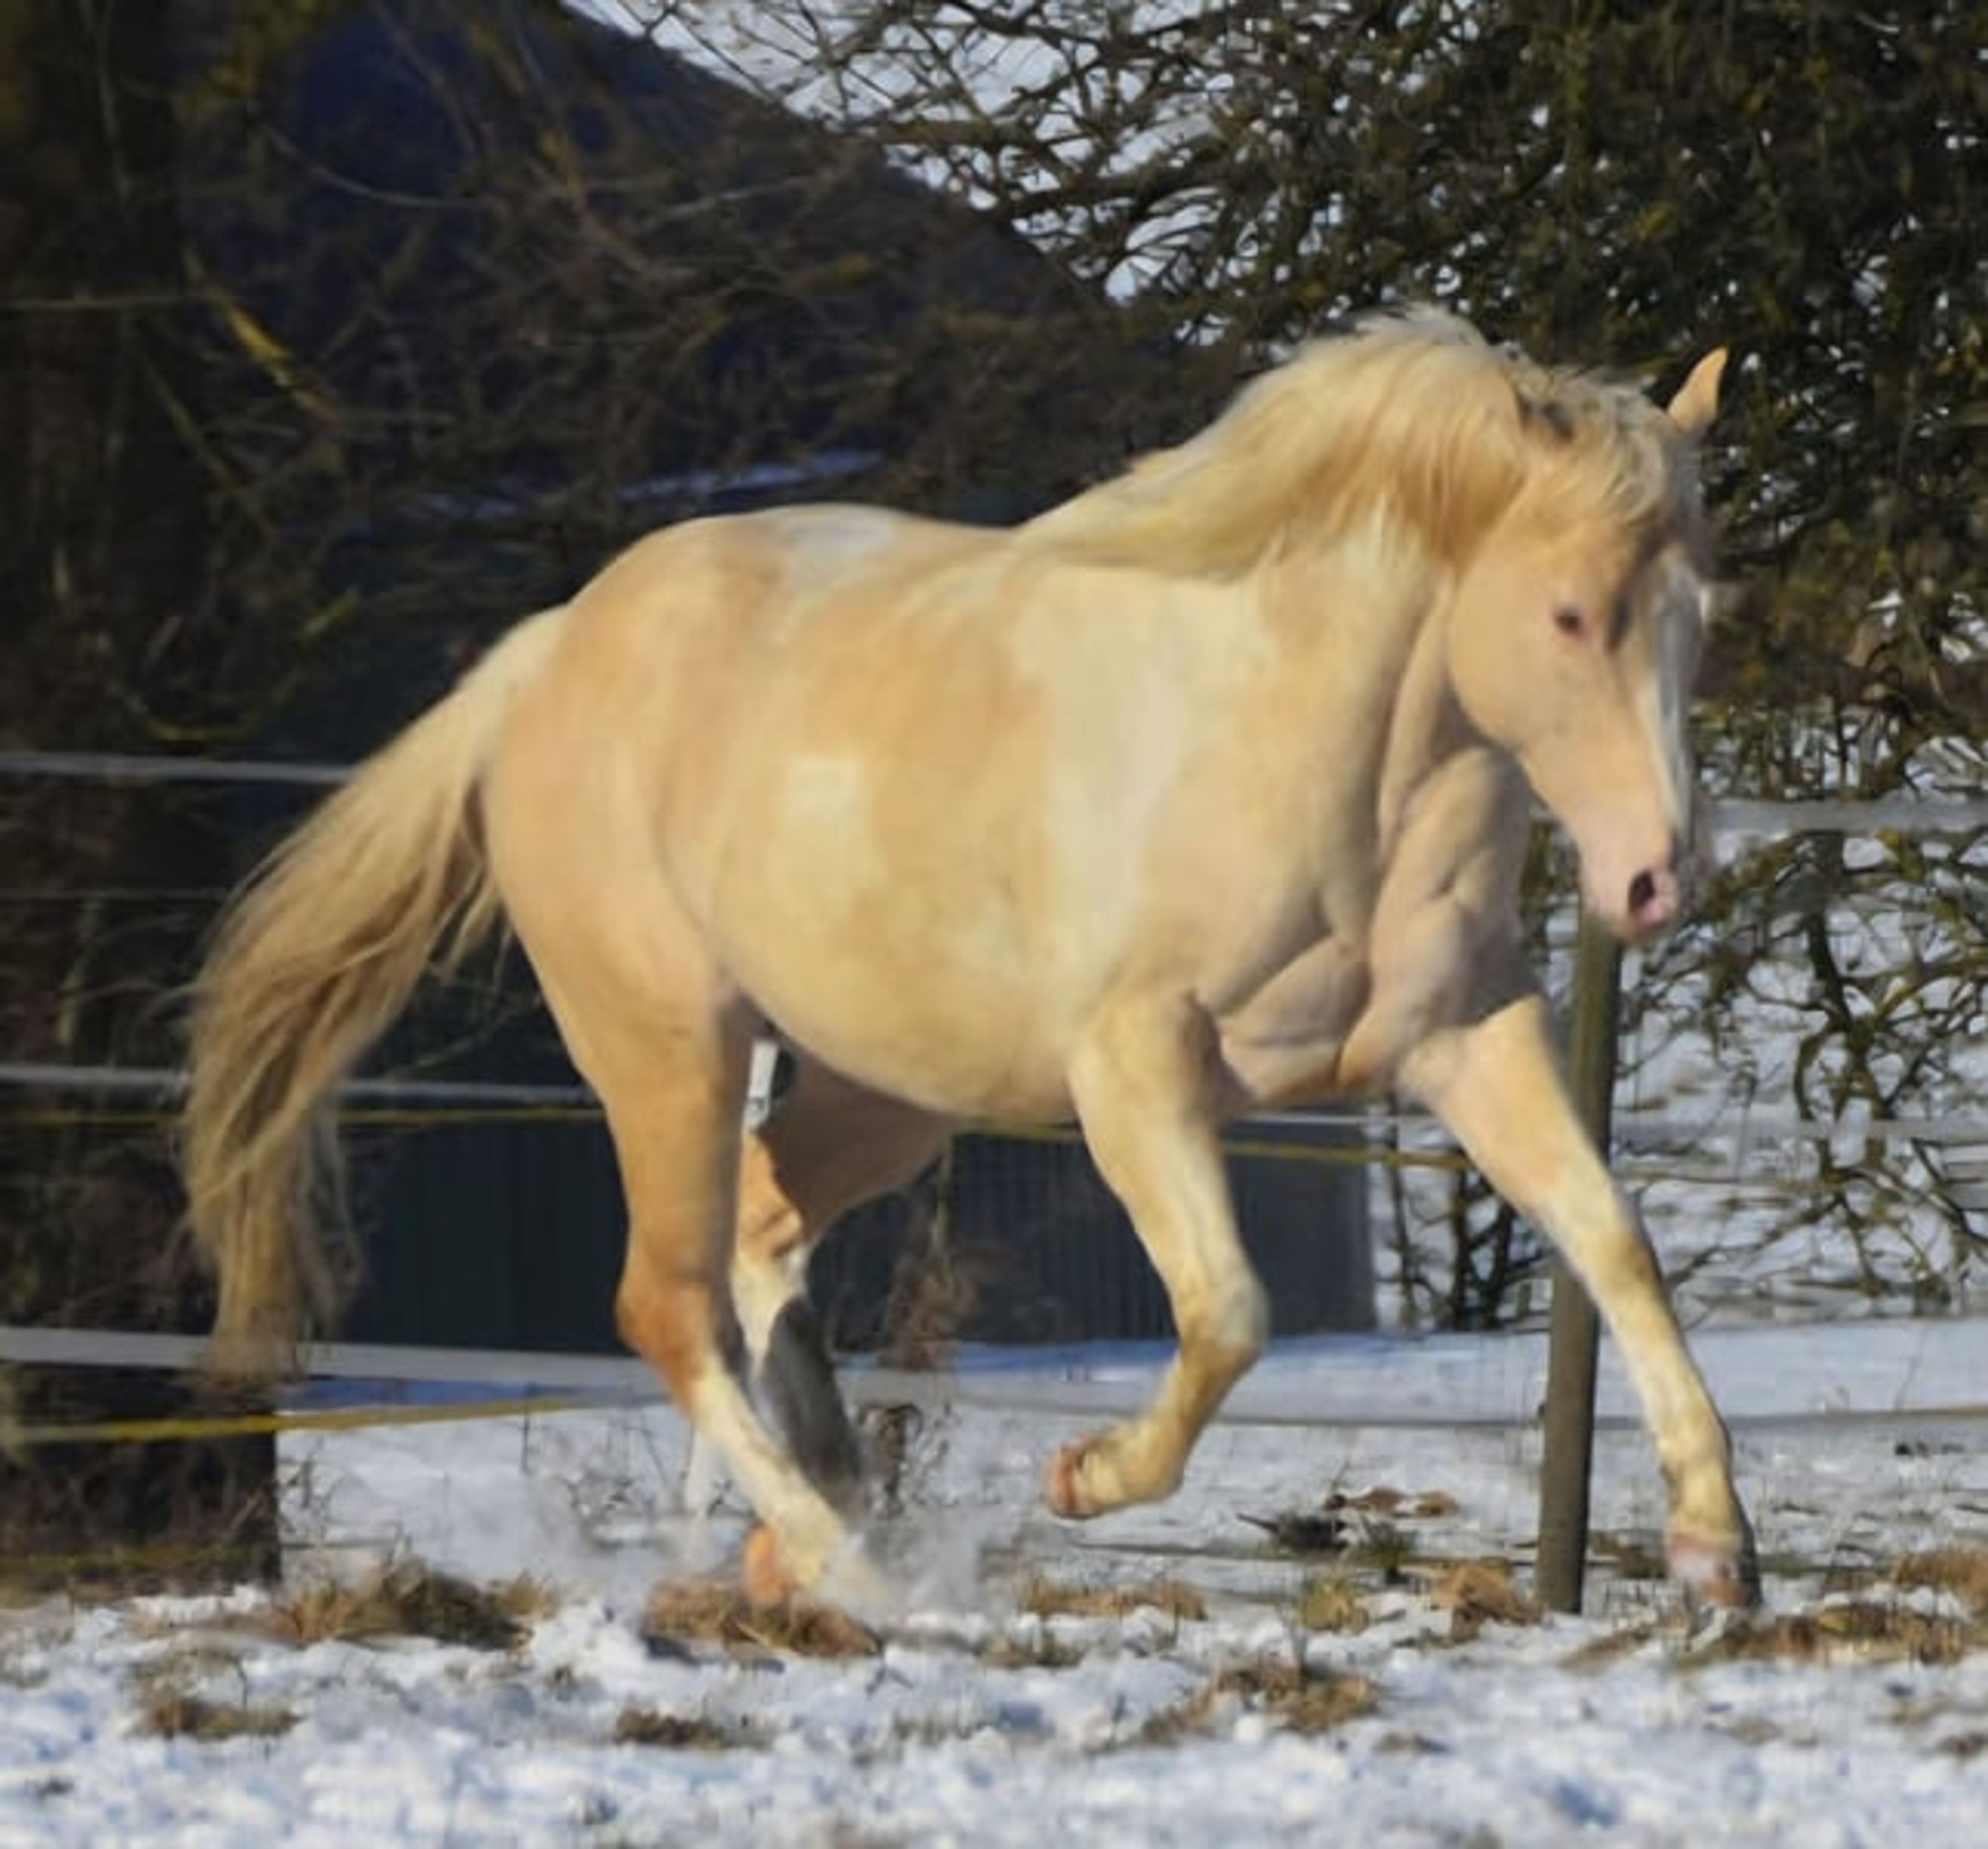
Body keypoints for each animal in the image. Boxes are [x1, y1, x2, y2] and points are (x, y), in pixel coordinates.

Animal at [181, 308, 1759, 1613]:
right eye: (1569, 613)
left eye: (1703, 617)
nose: (1655, 880)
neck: (1317, 747)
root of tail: (544, 659)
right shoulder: (1135, 1067)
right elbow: (1229, 1310)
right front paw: (1088, 1478)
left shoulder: (1464, 1032)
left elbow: (1613, 1239)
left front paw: (1714, 1551)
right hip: (668, 1046)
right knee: (667, 1303)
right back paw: (840, 1561)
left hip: (887, 1086)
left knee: (762, 1229)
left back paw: (816, 1515)